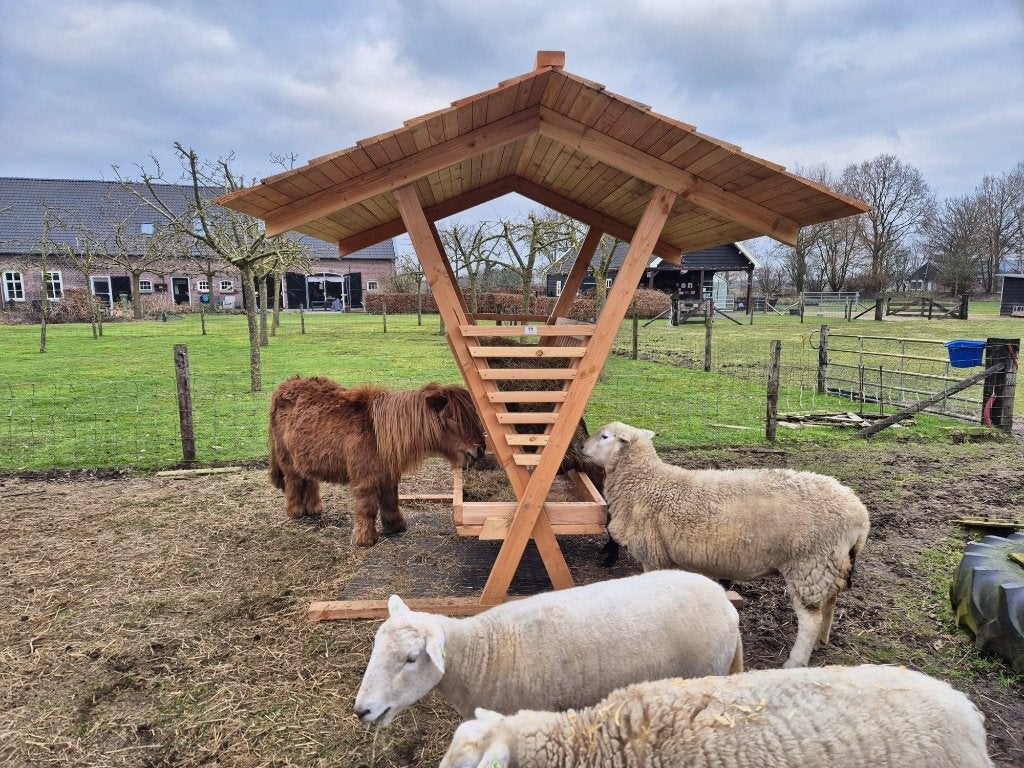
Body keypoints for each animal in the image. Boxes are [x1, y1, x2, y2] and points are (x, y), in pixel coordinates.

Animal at [268, 377, 486, 546]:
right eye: (454, 419)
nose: (480, 449)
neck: (378, 433)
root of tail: (283, 387)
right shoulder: (366, 480)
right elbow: (368, 507)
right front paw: (365, 539)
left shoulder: (389, 475)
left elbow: (390, 500)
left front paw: (396, 526)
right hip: (288, 460)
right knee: (294, 482)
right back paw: (296, 512)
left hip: (306, 457)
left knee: (310, 480)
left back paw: (313, 509)